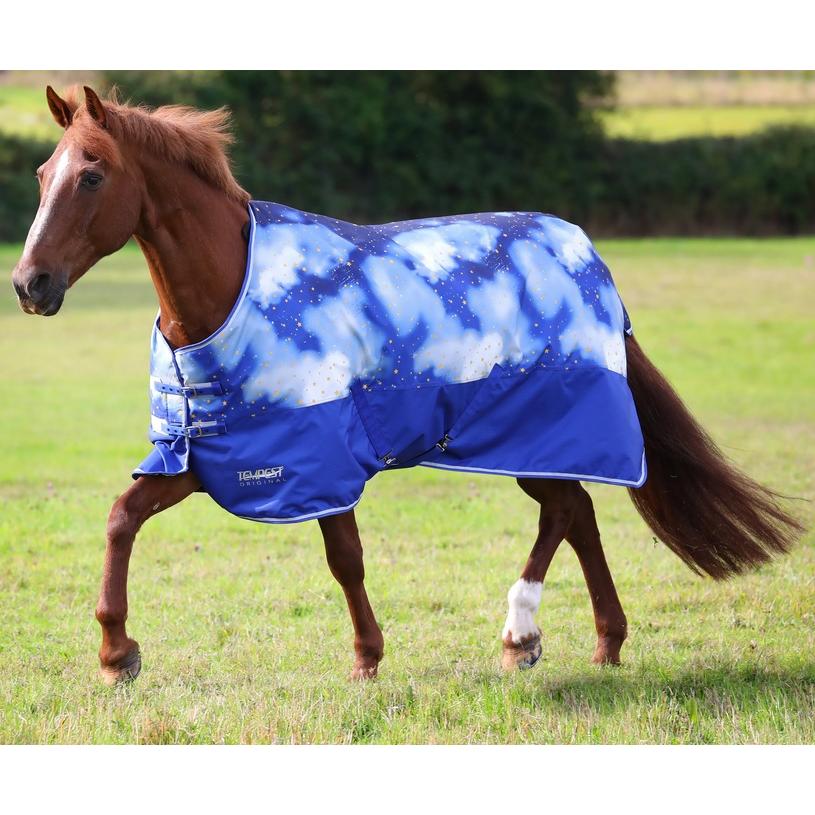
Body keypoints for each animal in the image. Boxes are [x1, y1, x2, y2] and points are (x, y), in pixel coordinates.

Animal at [11, 86, 803, 684]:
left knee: (562, 512)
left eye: (92, 175)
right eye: (44, 174)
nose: (29, 284)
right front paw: (117, 655)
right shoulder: (208, 454)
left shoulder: (322, 455)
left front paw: (366, 658)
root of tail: (586, 255)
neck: (227, 292)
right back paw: (603, 642)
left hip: (530, 425)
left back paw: (520, 635)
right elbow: (122, 517)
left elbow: (344, 557)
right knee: (576, 511)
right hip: (529, 437)